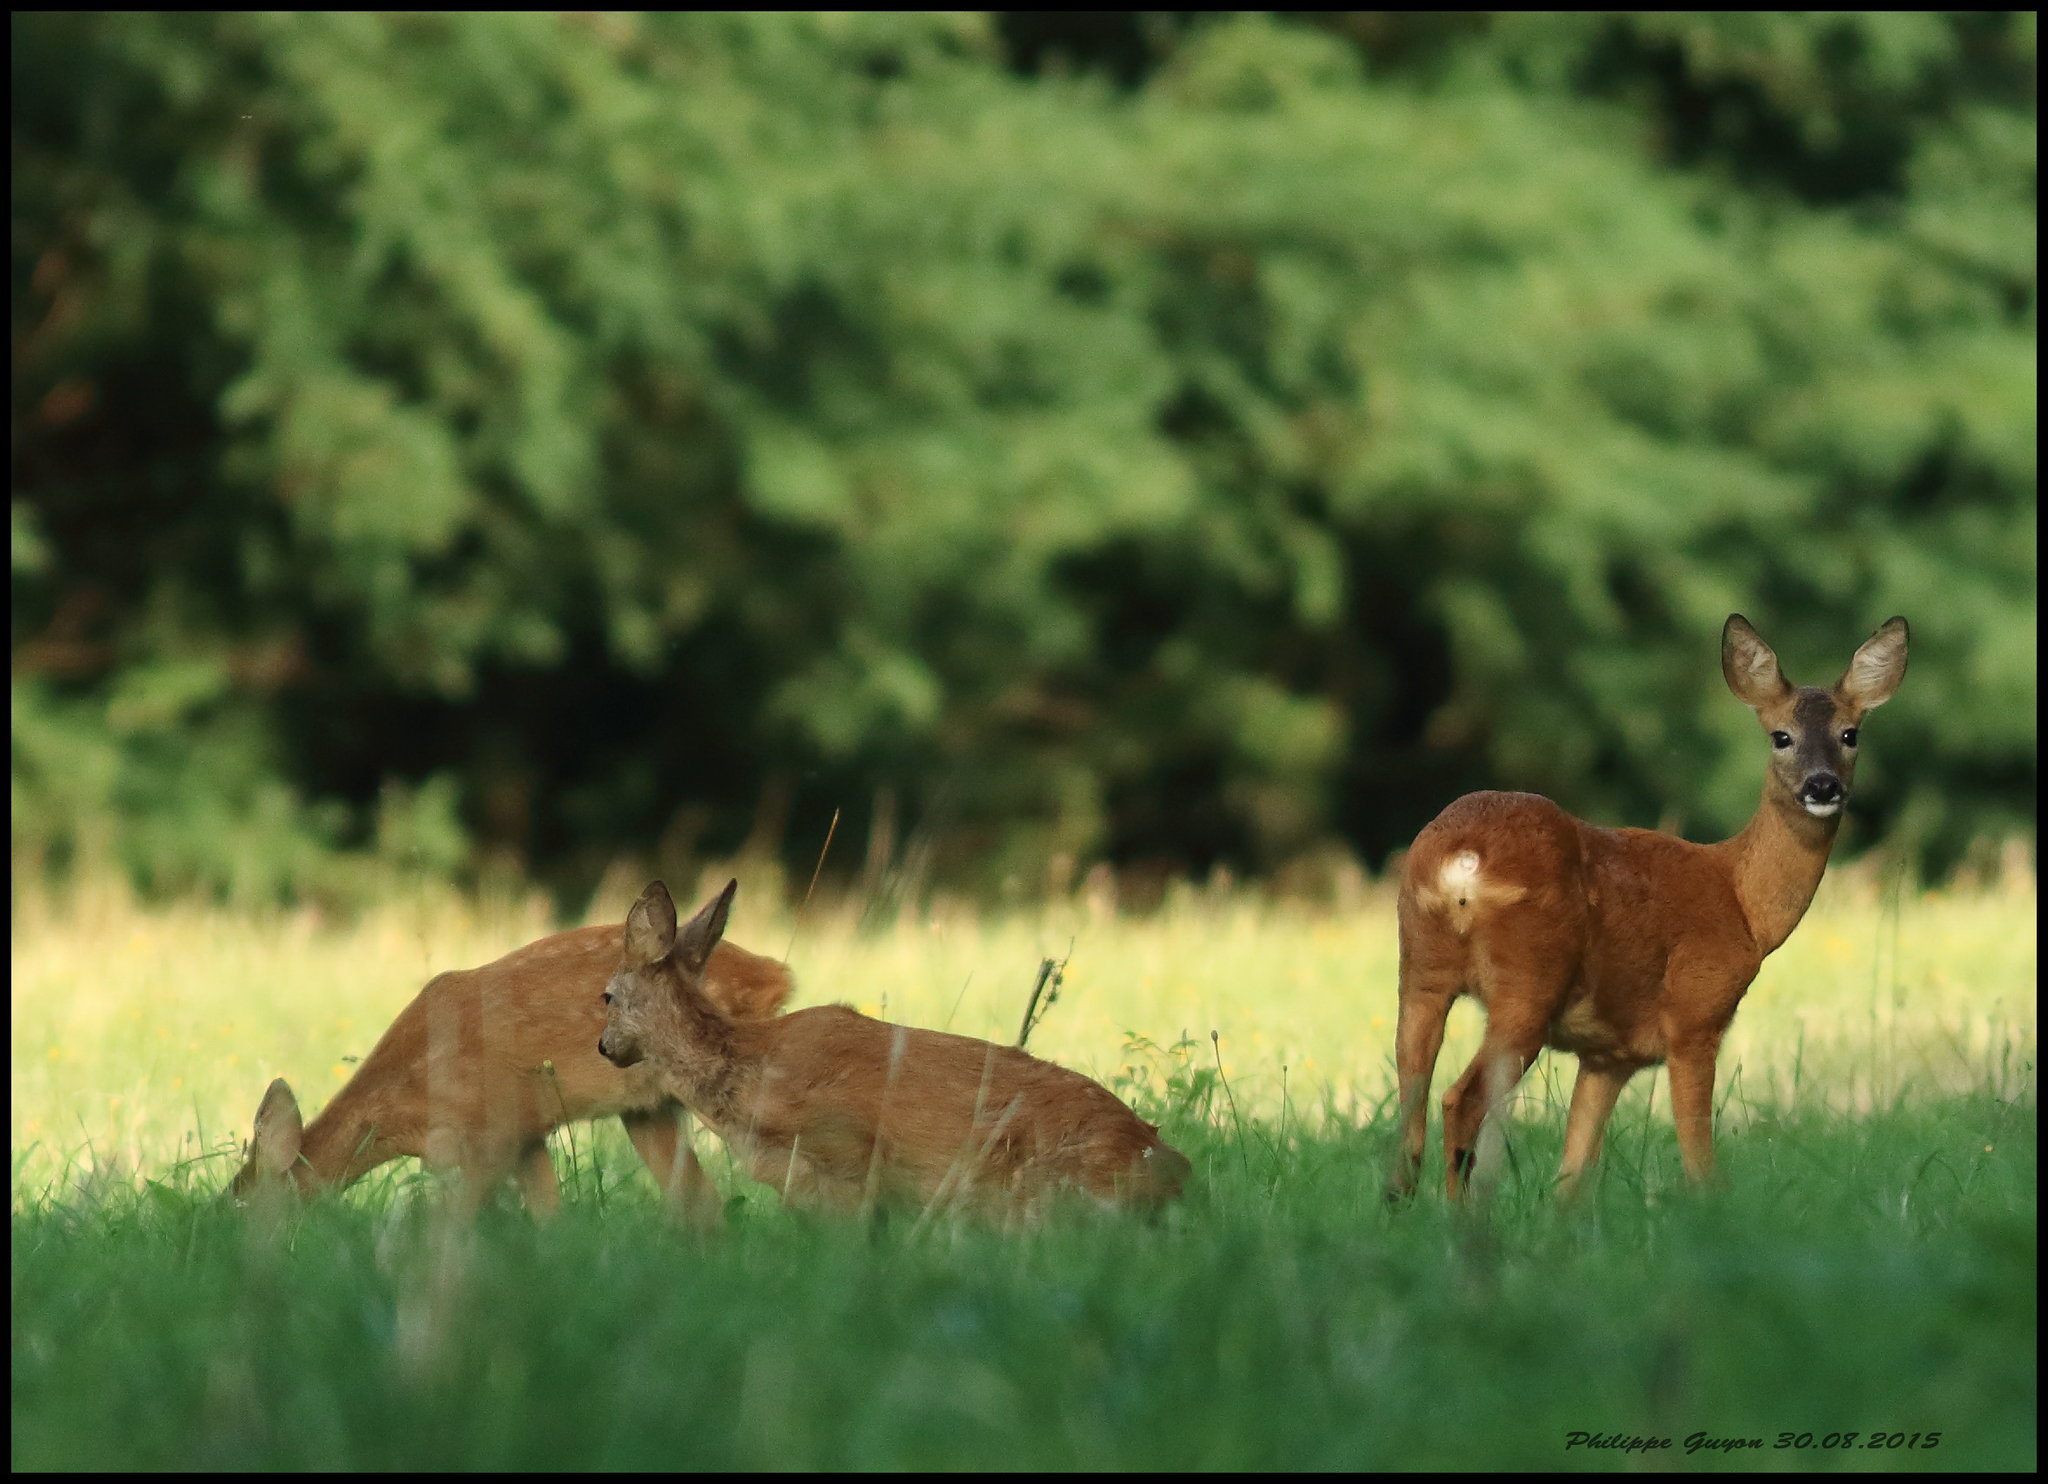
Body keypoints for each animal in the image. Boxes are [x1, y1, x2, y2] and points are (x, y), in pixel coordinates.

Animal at [1384, 605, 1908, 1195]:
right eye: (1781, 736)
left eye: (1849, 733)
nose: (1822, 786)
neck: (1742, 903)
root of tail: (1461, 862)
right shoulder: (1695, 1014)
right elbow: (1700, 1164)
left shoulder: (1609, 1055)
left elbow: (1571, 1181)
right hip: (1528, 982)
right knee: (1460, 1099)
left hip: (1420, 971)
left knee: (1409, 1107)